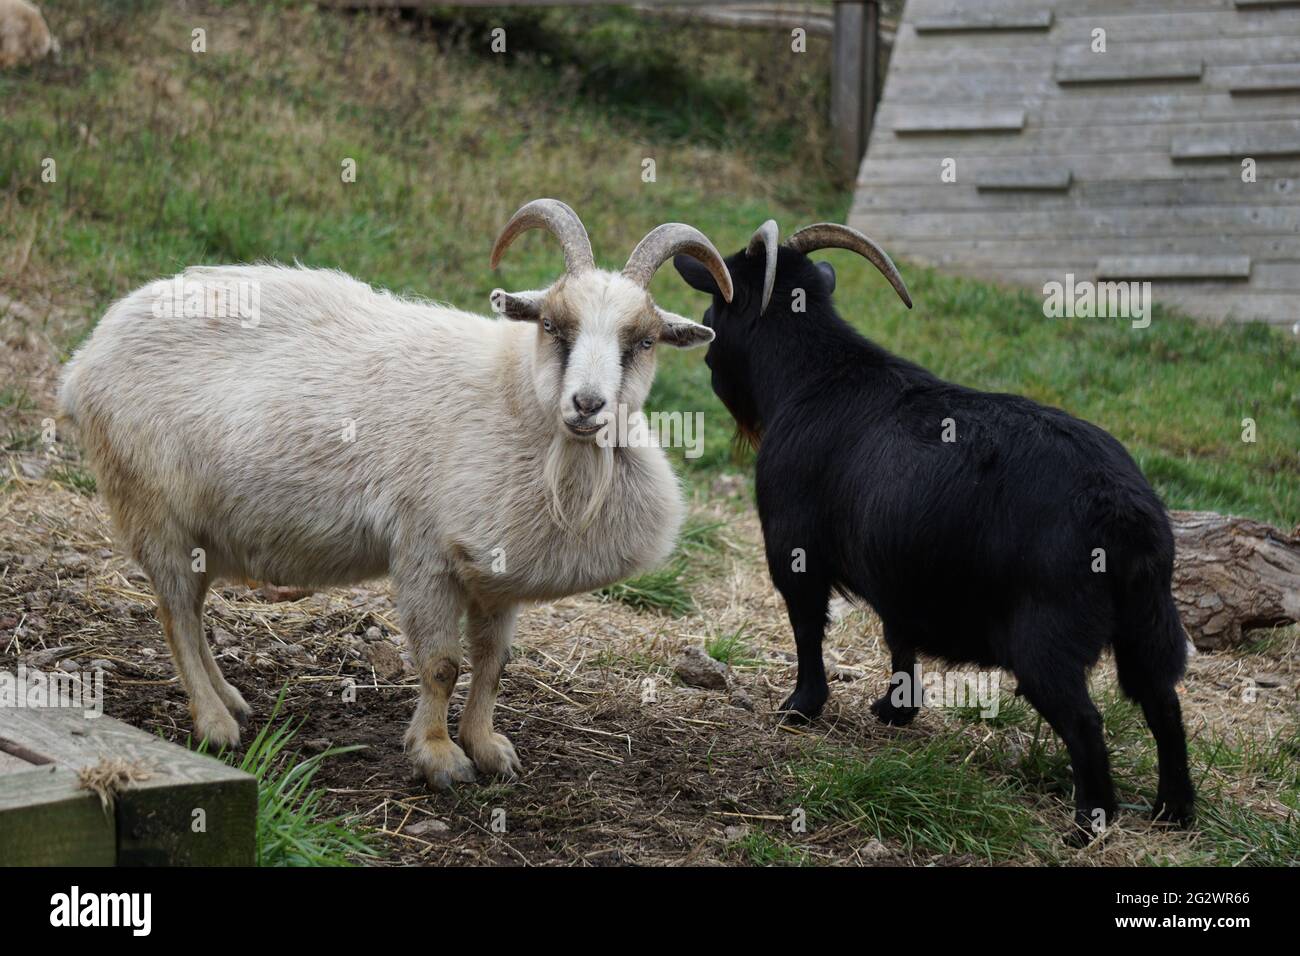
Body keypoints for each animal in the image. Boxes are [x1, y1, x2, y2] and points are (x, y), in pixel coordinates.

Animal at [63, 197, 733, 790]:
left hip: (204, 527)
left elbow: (493, 663)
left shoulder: (498, 572)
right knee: (175, 611)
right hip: (153, 506)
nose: (588, 405)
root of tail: (88, 352)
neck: (518, 404)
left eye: (642, 341)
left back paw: (231, 699)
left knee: (193, 612)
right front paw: (438, 757)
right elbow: (442, 664)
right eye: (551, 324)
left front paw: (488, 747)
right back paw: (214, 723)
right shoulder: (424, 551)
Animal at [681, 223, 1196, 837]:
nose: (706, 340)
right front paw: (895, 710)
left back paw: (1087, 825)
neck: (814, 375)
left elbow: (808, 627)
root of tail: (1125, 511)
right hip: (1147, 619)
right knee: (1162, 700)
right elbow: (898, 637)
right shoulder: (899, 573)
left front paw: (801, 706)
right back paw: (1174, 811)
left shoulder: (794, 549)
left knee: (1085, 721)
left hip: (1048, 636)